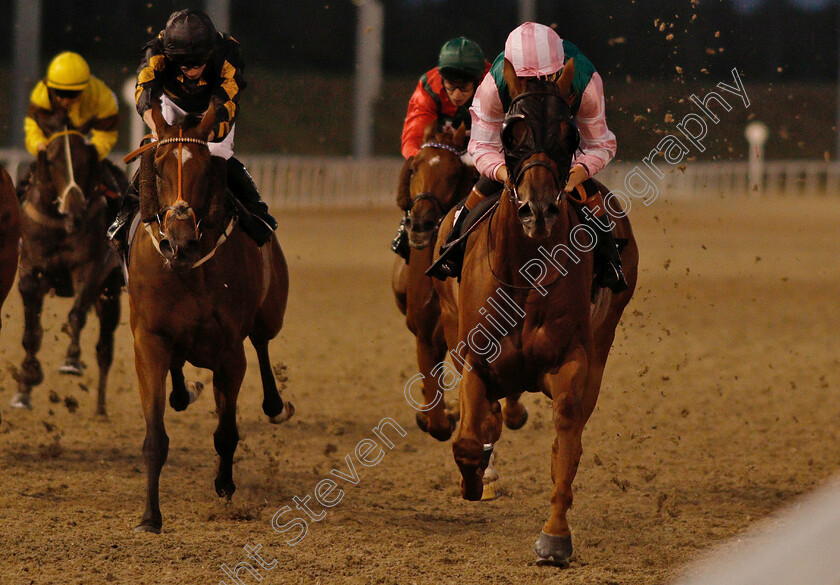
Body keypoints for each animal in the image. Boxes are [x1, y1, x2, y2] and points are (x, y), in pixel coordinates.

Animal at [12, 113, 126, 416]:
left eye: (85, 159)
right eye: (52, 160)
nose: (75, 209)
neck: (60, 224)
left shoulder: (91, 269)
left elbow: (76, 314)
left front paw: (71, 361)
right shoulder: (32, 270)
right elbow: (31, 334)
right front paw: (26, 383)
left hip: (110, 293)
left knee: (104, 349)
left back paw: (100, 408)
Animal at [127, 102, 292, 532]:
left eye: (204, 169)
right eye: (159, 168)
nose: (180, 242)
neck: (189, 269)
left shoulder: (230, 351)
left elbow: (226, 432)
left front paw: (225, 485)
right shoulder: (149, 340)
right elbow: (155, 438)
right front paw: (150, 516)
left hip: (271, 313)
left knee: (262, 342)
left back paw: (274, 404)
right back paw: (184, 391)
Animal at [434, 60, 636, 564]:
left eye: (568, 134)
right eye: (511, 134)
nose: (538, 210)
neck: (526, 276)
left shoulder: (572, 363)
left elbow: (566, 442)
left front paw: (556, 537)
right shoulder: (476, 359)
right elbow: (468, 442)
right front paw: (475, 479)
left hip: (603, 342)